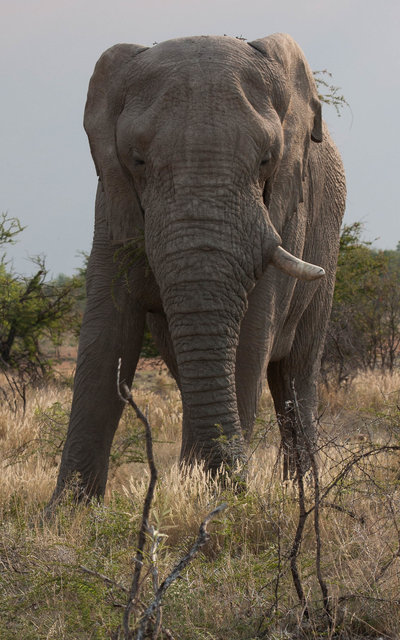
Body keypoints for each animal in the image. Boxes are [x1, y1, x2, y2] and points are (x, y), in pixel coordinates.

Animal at [51, 33, 346, 500]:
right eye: (137, 161)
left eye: (267, 160)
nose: (238, 478)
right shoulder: (112, 197)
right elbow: (105, 335)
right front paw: (68, 512)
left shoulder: (284, 209)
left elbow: (250, 336)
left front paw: (216, 500)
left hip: (326, 249)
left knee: (295, 375)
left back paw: (303, 497)